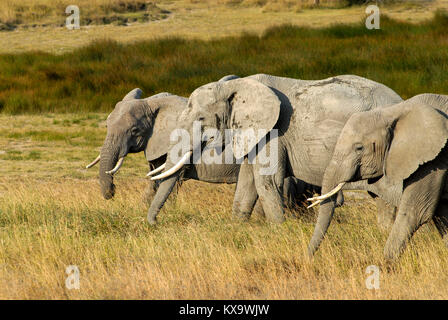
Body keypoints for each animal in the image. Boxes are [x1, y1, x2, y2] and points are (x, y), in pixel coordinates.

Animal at [86, 86, 316, 224]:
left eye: (134, 130)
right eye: (107, 126)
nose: (112, 191)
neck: (153, 103)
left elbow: (170, 182)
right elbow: (155, 182)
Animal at [148, 74, 402, 224]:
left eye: (201, 118)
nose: (154, 223)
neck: (234, 86)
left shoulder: (275, 131)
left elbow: (266, 181)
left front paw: (278, 231)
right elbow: (247, 182)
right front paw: (237, 228)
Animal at [308, 94, 448, 262]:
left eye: (359, 148)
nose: (308, 258)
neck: (393, 112)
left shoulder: (434, 159)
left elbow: (417, 212)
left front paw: (385, 265)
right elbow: (443, 215)